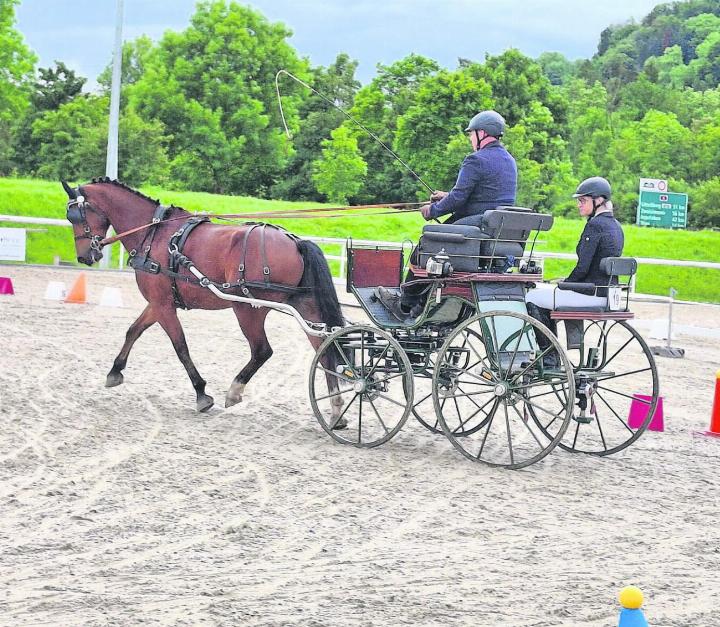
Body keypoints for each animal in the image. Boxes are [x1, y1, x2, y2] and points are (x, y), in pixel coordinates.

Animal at [62, 179, 346, 420]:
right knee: (325, 350)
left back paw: (234, 391)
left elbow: (180, 347)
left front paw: (201, 393)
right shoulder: (158, 303)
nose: (85, 256)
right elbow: (133, 330)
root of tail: (295, 241)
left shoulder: (164, 306)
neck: (153, 233)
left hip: (247, 308)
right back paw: (335, 408)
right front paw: (115, 371)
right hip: (304, 306)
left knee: (262, 350)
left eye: (74, 216)